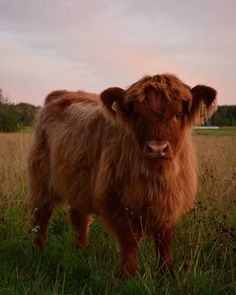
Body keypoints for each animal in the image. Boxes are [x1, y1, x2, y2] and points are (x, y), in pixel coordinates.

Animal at [26, 74, 217, 278]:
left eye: (178, 114)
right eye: (138, 115)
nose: (157, 148)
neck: (156, 176)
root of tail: (60, 94)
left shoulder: (169, 201)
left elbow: (164, 240)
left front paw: (167, 271)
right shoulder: (117, 200)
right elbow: (129, 239)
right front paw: (130, 274)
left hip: (79, 182)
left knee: (79, 217)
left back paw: (82, 252)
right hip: (41, 178)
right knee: (41, 216)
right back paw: (38, 252)